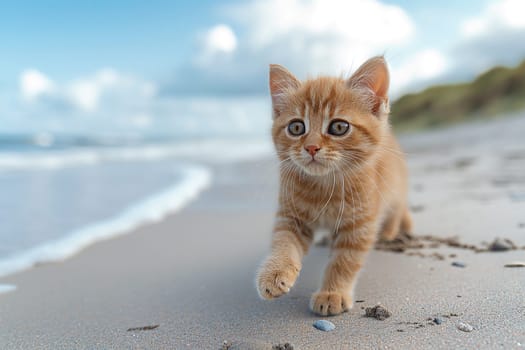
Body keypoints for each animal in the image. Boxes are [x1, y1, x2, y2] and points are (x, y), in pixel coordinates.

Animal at [256, 56, 412, 316]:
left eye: (339, 127)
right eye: (296, 127)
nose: (311, 147)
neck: (324, 186)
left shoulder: (360, 223)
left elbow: (344, 261)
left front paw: (332, 293)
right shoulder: (291, 216)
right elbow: (283, 243)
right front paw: (275, 273)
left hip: (395, 190)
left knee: (396, 210)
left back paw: (389, 232)